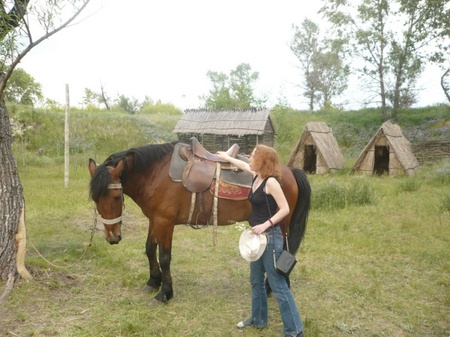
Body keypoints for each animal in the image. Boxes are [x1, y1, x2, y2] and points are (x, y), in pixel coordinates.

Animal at [89, 140, 312, 300]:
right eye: (95, 199)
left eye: (116, 197)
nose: (112, 237)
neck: (155, 173)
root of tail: (290, 171)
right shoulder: (155, 219)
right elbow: (150, 249)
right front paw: (153, 282)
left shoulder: (165, 222)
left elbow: (165, 257)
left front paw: (165, 292)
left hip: (280, 223)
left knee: (283, 251)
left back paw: (273, 287)